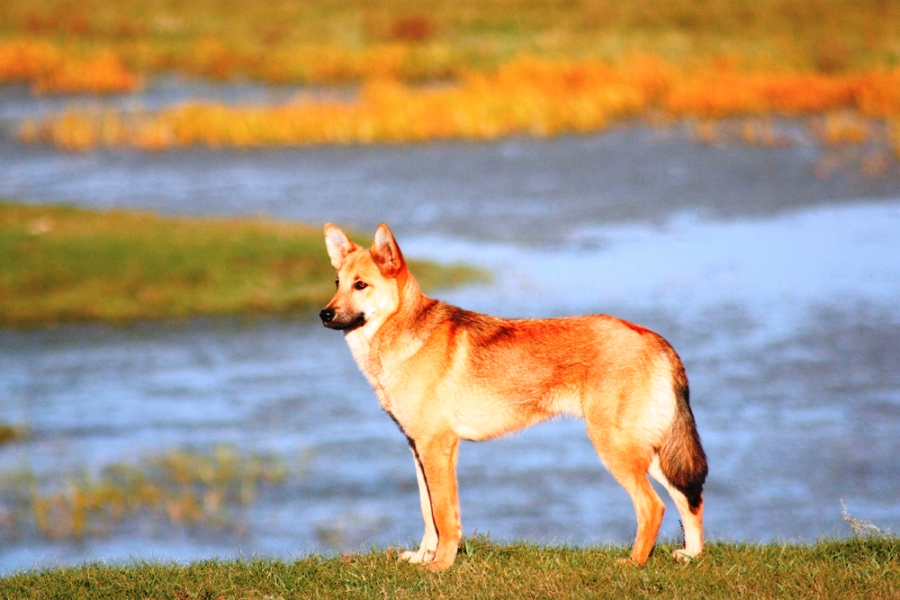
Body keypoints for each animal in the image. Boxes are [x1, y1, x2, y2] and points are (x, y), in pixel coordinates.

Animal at [320, 223, 708, 568]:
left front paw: (440, 566)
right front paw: (422, 557)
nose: (324, 314)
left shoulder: (437, 446)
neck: (401, 337)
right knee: (689, 499)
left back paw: (632, 563)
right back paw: (691, 556)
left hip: (616, 448)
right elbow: (427, 512)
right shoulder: (419, 448)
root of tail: (654, 338)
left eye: (360, 285)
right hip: (651, 450)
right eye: (337, 283)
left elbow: (444, 516)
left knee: (653, 506)